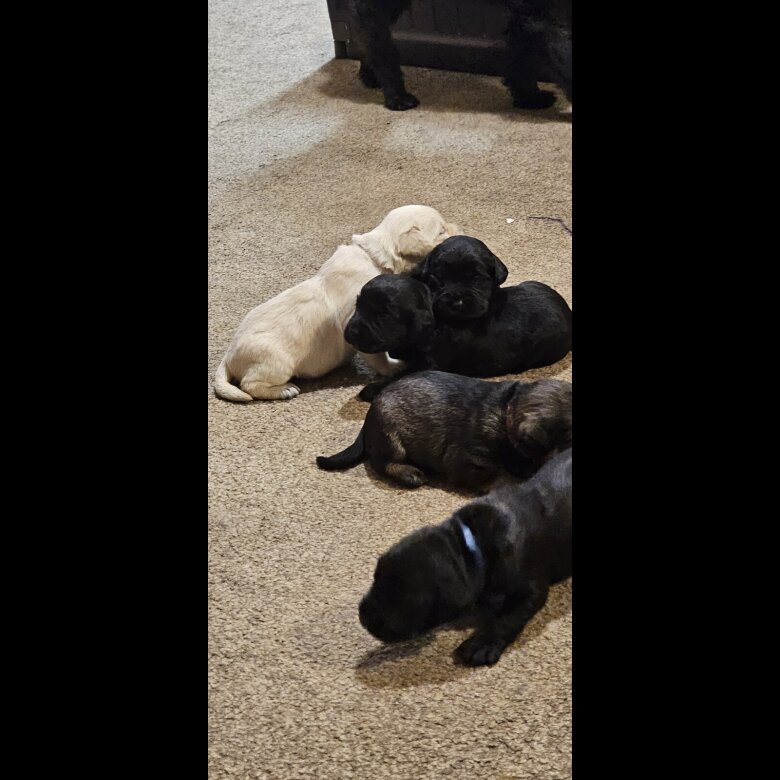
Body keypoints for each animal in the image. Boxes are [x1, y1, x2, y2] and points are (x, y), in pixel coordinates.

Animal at [214, 205, 460, 401]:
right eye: (441, 230)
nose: (458, 227)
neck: (374, 257)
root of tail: (229, 355)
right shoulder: (362, 330)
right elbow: (379, 357)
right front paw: (395, 366)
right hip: (274, 363)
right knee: (250, 385)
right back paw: (284, 390)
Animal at [317, 370, 571, 491]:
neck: (506, 411)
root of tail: (367, 422)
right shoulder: (465, 461)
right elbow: (493, 475)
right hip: (391, 438)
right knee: (383, 463)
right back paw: (410, 474)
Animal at [344, 235, 572, 400]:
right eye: (358, 305)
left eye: (384, 315)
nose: (349, 334)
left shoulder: (428, 365)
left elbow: (399, 377)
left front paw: (371, 389)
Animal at [352, 0, 571, 110]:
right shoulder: (538, 14)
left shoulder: (527, 16)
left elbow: (523, 56)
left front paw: (529, 98)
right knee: (373, 30)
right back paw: (397, 96)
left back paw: (370, 76)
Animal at [358, 447, 572, 666]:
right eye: (375, 577)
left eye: (407, 597)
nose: (363, 617)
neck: (470, 547)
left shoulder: (530, 589)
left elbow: (508, 617)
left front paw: (482, 644)